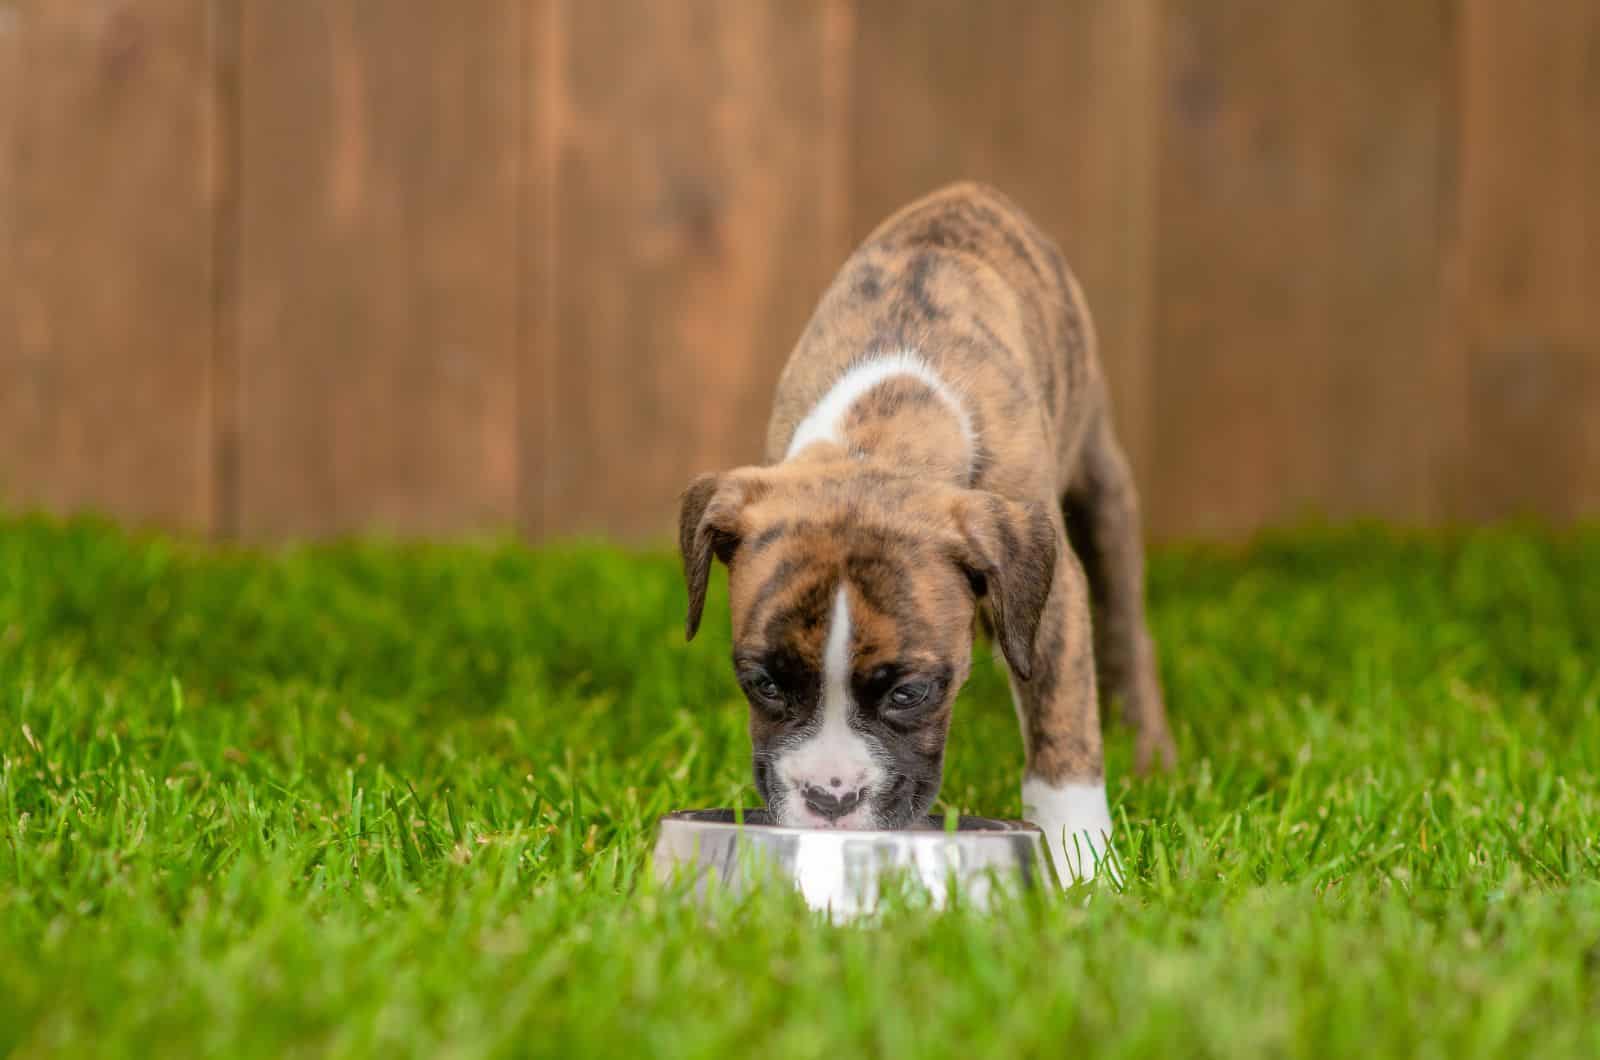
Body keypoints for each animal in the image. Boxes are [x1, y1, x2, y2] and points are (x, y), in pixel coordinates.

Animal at [675, 184, 1177, 890]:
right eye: (764, 684)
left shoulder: (1054, 604)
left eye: (910, 693)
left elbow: (1063, 729)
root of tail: (971, 192)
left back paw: (1147, 750)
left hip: (1102, 486)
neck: (879, 436)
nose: (830, 801)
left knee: (1126, 631)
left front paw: (1084, 865)